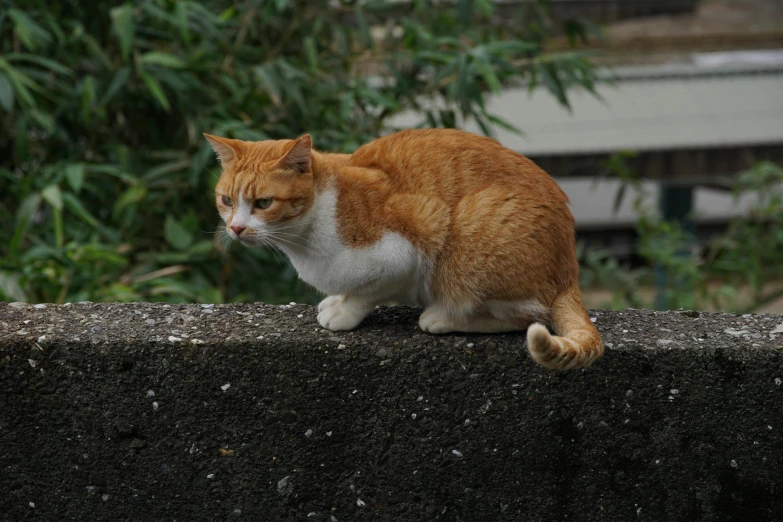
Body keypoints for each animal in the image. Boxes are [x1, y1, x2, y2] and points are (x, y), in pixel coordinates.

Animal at [205, 128, 604, 368]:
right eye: (227, 200)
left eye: (262, 203)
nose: (236, 228)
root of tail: (569, 268)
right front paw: (335, 301)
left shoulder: (407, 247)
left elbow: (367, 293)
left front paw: (344, 312)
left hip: (469, 237)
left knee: (524, 315)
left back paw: (443, 317)